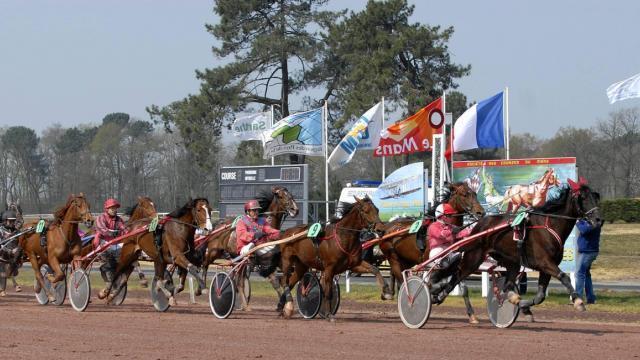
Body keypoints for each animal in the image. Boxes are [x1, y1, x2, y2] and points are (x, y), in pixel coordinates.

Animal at [378, 181, 482, 322]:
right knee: (401, 280)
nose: (481, 212)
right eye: (465, 194)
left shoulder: (455, 262)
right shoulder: (430, 262)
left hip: (406, 260)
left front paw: (472, 315)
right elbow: (431, 283)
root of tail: (386, 228)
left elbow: (462, 286)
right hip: (393, 257)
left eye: (475, 193)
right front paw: (433, 294)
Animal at [436, 179, 600, 322]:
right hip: (474, 258)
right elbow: (564, 277)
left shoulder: (546, 268)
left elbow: (540, 296)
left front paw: (524, 307)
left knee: (507, 284)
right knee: (457, 275)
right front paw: (579, 301)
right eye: (583, 198)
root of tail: (479, 224)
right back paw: (439, 295)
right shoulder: (544, 262)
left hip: (511, 262)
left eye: (596, 196)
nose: (598, 219)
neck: (550, 226)